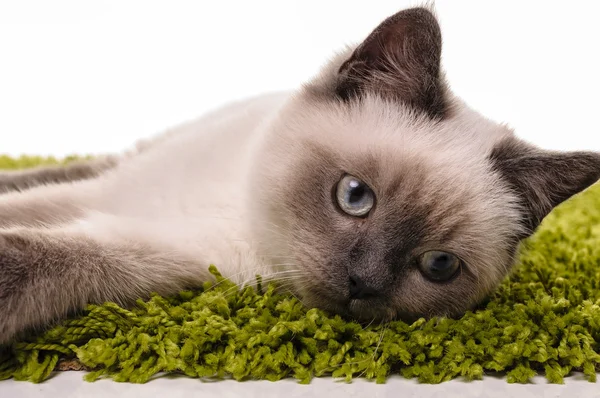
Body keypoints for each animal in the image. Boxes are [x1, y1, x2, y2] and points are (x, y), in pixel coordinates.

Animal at [1, 4, 600, 344]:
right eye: (354, 195)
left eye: (438, 266)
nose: (362, 285)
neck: (233, 207)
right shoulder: (112, 193)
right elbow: (26, 209)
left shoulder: (156, 250)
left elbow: (34, 253)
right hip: (134, 162)